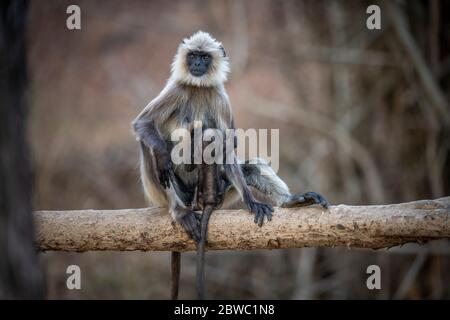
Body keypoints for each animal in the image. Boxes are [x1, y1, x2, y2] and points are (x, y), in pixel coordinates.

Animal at [132, 31, 328, 298]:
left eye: (204, 57)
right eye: (193, 56)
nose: (197, 64)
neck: (199, 87)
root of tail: (196, 201)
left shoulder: (220, 97)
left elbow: (228, 144)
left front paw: (252, 201)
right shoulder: (175, 89)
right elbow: (143, 124)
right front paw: (164, 155)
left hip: (222, 190)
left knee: (250, 166)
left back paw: (291, 200)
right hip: (159, 191)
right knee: (151, 145)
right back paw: (179, 208)